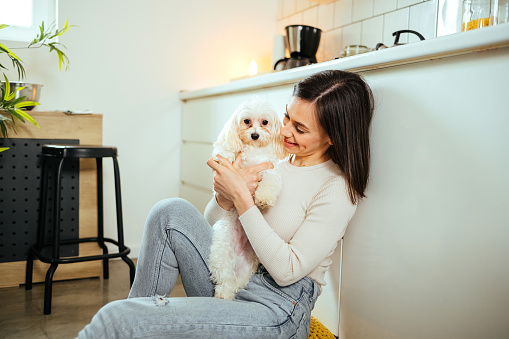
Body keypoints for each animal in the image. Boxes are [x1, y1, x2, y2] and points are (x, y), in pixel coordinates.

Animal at [206, 95, 286, 300]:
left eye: (265, 122)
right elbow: (224, 149)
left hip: (248, 264)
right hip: (221, 251)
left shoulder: (270, 172)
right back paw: (223, 292)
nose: (255, 135)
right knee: (224, 276)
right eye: (246, 121)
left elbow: (269, 183)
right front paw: (222, 157)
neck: (254, 151)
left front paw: (263, 199)